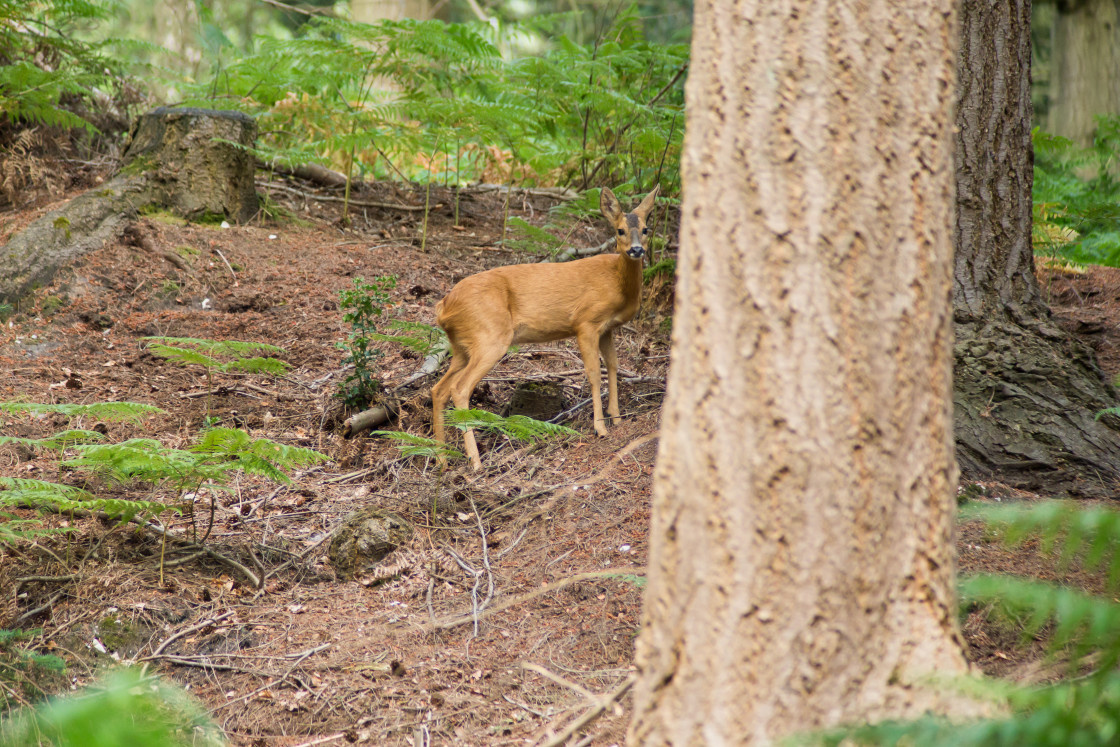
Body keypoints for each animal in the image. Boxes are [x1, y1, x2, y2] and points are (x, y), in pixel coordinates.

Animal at [427, 183, 654, 470]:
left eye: (646, 229)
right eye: (620, 230)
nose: (636, 250)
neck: (617, 282)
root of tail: (443, 307)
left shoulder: (607, 328)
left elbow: (613, 366)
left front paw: (617, 418)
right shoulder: (585, 322)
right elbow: (593, 372)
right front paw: (600, 428)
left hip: (462, 346)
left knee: (439, 389)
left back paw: (442, 459)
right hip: (489, 336)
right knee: (459, 388)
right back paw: (475, 461)